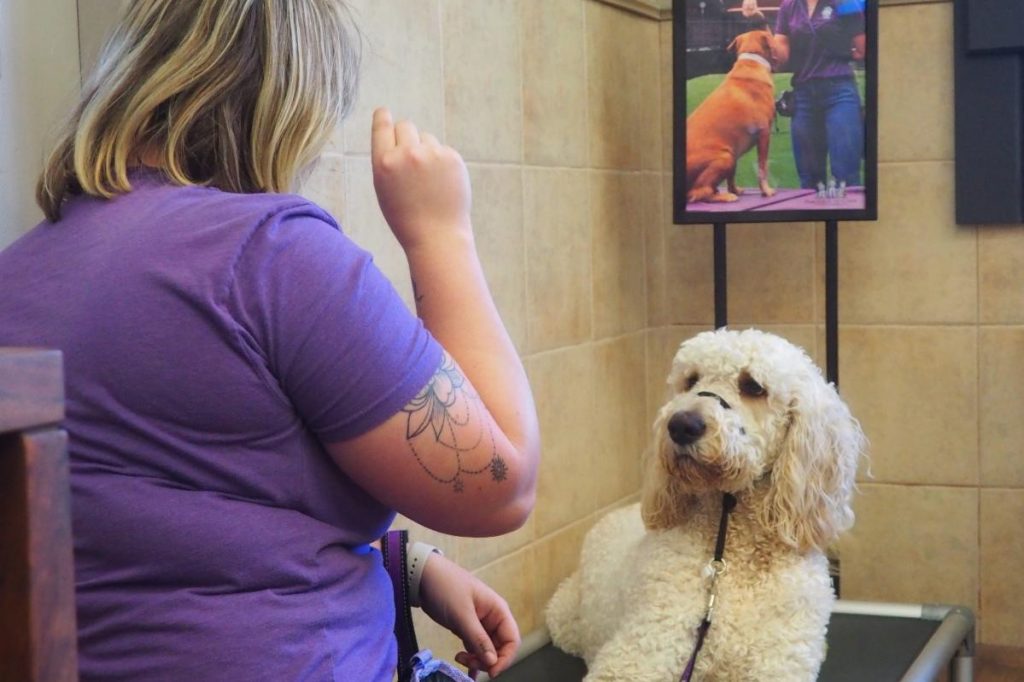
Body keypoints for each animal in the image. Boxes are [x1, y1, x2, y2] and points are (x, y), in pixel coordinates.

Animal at [548, 327, 868, 675]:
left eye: (753, 386)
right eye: (690, 380)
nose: (681, 425)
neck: (730, 555)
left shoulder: (777, 662)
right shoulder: (638, 654)